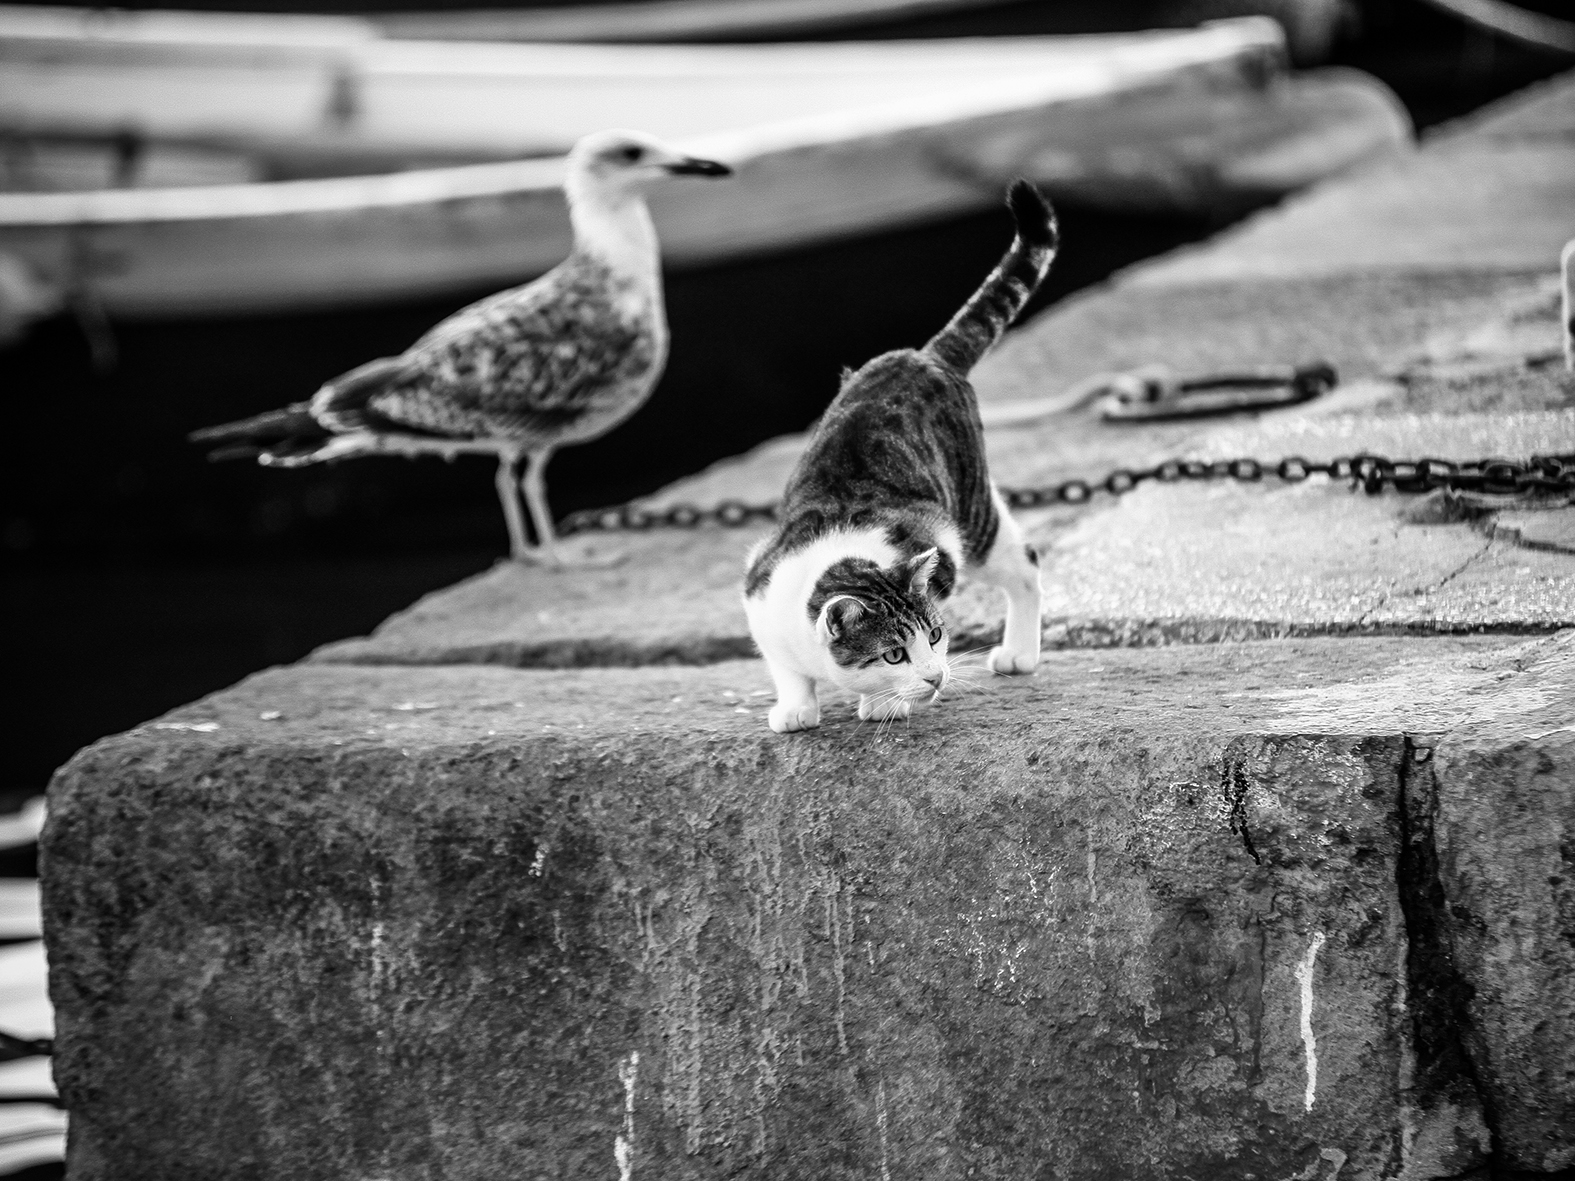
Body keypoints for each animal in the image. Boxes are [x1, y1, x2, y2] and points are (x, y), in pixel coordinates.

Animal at [740, 180, 1058, 736]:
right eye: (893, 654)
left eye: (934, 636)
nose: (935, 677)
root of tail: (925, 354)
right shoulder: (760, 591)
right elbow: (786, 668)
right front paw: (796, 706)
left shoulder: (938, 537)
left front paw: (887, 703)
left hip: (971, 514)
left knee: (1025, 561)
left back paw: (1019, 653)